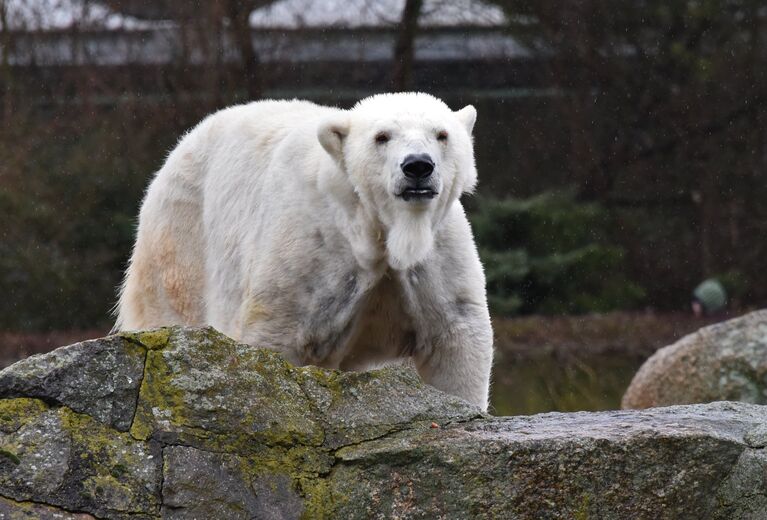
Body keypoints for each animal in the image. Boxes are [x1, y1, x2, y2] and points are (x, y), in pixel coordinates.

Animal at [117, 92, 496, 410]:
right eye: (382, 137)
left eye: (441, 134)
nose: (418, 165)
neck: (375, 227)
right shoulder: (311, 250)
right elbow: (276, 334)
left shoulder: (436, 254)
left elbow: (455, 337)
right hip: (181, 238)